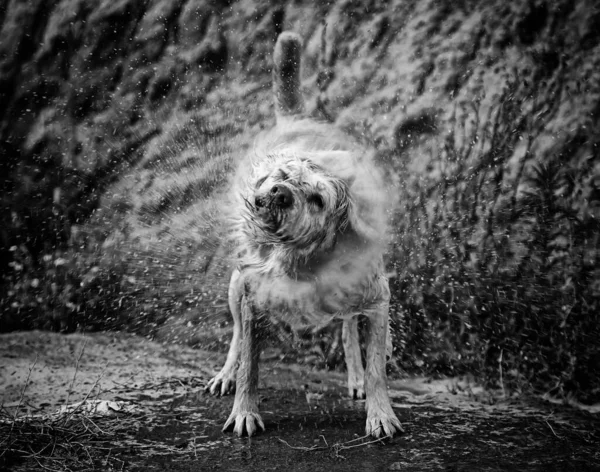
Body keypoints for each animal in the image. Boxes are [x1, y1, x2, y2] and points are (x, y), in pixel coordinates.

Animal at [206, 32, 404, 438]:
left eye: (317, 198)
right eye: (281, 176)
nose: (280, 192)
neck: (305, 261)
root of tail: (296, 118)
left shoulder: (376, 295)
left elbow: (376, 366)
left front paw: (380, 413)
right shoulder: (252, 299)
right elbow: (250, 364)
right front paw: (245, 411)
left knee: (349, 327)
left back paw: (357, 373)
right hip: (235, 285)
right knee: (236, 336)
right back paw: (226, 374)